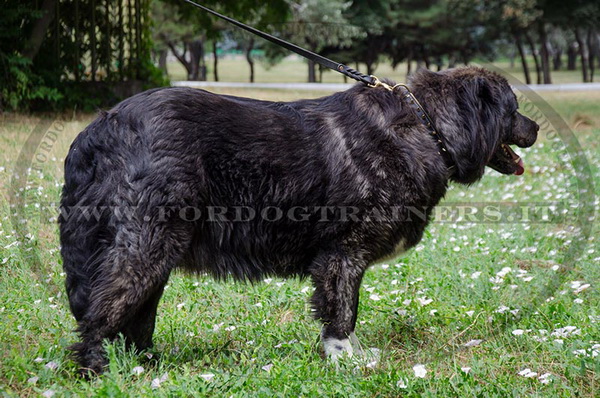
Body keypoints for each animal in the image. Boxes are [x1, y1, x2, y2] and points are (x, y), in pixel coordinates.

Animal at [59, 67, 540, 374]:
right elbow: (342, 313)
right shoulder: (343, 255)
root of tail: (100, 129)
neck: (427, 127)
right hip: (146, 245)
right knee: (103, 310)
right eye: (513, 108)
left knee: (135, 314)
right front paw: (344, 358)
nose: (535, 128)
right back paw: (98, 367)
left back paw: (146, 365)